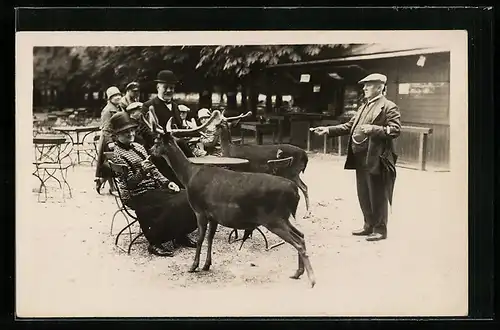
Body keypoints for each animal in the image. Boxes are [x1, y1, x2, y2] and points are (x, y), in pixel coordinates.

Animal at [145, 109, 316, 288]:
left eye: (157, 141)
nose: (150, 150)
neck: (188, 176)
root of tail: (293, 193)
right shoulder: (213, 215)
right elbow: (210, 238)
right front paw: (207, 265)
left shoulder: (199, 210)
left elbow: (200, 239)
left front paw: (193, 266)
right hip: (283, 216)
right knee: (301, 235)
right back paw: (297, 272)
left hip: (273, 218)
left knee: (298, 241)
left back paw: (311, 279)